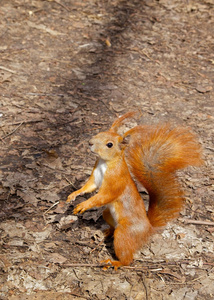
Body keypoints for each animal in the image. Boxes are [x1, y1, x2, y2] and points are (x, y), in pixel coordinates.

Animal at [65, 112, 202, 270]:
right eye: (99, 133)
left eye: (109, 144)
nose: (90, 143)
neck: (104, 163)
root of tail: (148, 229)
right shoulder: (95, 176)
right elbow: (89, 187)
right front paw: (73, 195)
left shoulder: (116, 180)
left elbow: (104, 196)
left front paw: (83, 205)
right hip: (107, 214)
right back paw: (108, 232)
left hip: (124, 234)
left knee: (127, 258)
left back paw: (114, 262)